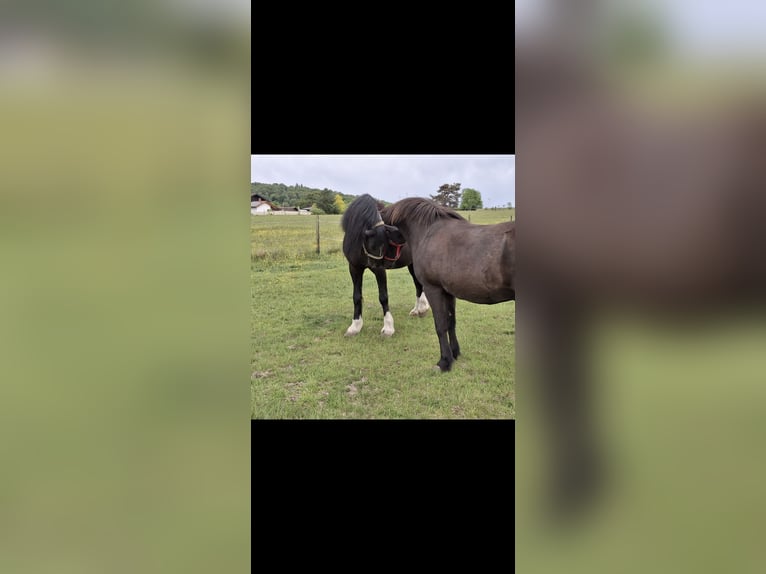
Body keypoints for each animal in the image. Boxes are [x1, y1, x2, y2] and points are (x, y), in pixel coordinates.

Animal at [340, 194, 430, 338]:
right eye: (373, 244)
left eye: (385, 244)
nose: (378, 263)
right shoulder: (354, 268)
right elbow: (356, 296)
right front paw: (355, 326)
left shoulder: (379, 271)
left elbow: (383, 297)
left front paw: (388, 327)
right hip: (411, 264)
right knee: (418, 285)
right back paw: (418, 310)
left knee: (419, 285)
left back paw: (421, 308)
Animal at [386, 197, 515, 371]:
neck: (428, 232)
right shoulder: (448, 292)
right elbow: (450, 322)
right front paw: (454, 353)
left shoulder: (433, 289)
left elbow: (440, 325)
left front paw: (444, 361)